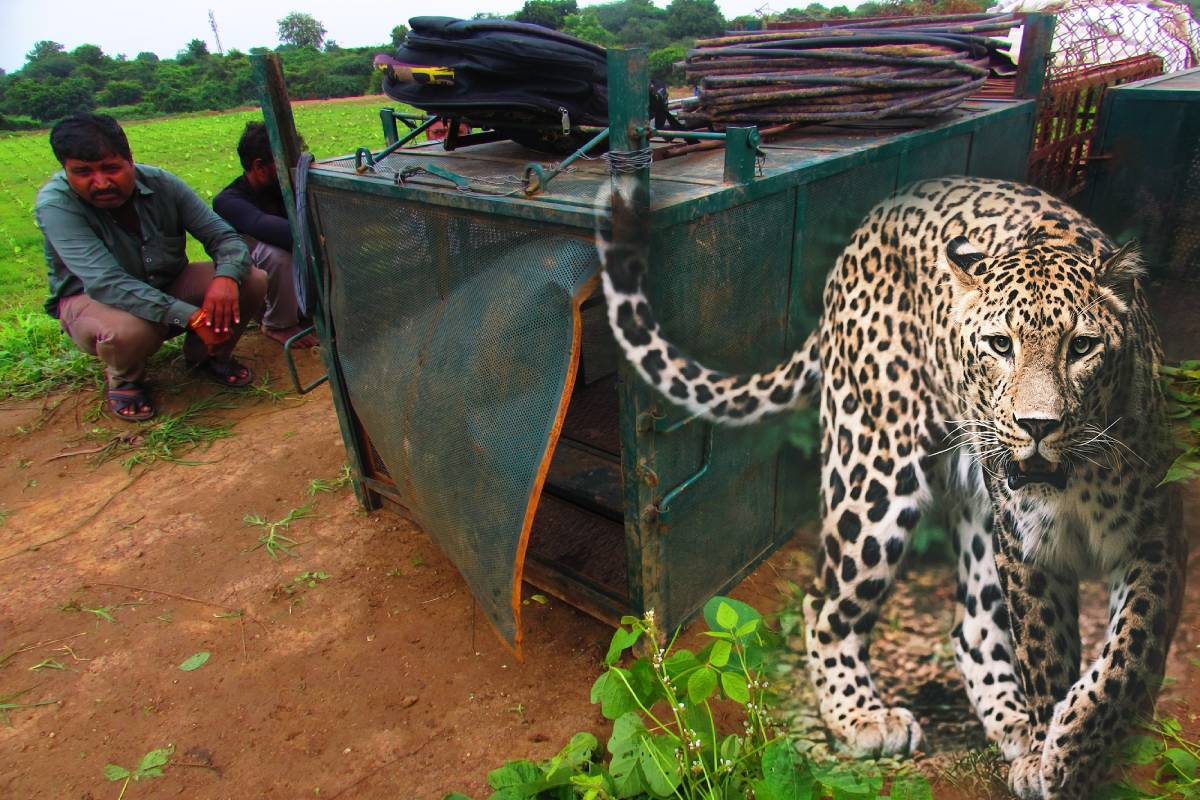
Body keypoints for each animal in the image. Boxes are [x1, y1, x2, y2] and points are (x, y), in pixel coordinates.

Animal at [593, 173, 1185, 799]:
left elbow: (1129, 654)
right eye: (1001, 345)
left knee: (972, 626)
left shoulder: (1157, 536)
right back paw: (863, 718)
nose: (1037, 426)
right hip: (873, 475)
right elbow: (1047, 655)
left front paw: (1074, 748)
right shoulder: (1028, 551)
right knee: (824, 604)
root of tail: (868, 225)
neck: (1077, 482)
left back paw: (1012, 726)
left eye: (1082, 347)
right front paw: (1055, 755)